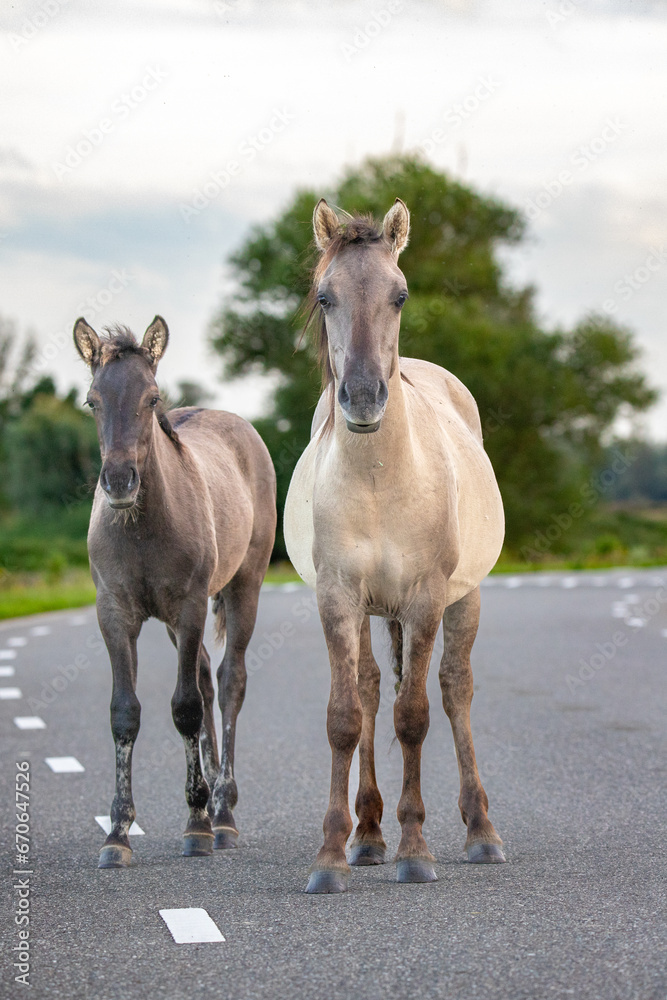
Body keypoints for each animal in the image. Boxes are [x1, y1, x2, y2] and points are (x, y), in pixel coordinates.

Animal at [73, 317, 276, 868]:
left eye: (152, 398)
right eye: (92, 401)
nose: (119, 481)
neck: (142, 526)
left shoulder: (188, 607)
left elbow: (185, 708)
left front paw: (198, 825)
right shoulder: (116, 614)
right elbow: (125, 713)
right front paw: (117, 833)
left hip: (244, 586)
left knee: (228, 682)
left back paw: (222, 811)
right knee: (206, 676)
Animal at [284, 199, 506, 893]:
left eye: (400, 295)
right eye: (324, 297)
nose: (360, 398)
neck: (380, 477)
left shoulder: (424, 600)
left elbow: (415, 717)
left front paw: (416, 850)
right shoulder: (338, 599)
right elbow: (345, 717)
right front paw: (334, 853)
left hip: (466, 599)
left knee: (455, 690)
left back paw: (480, 831)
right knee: (372, 688)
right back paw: (369, 833)